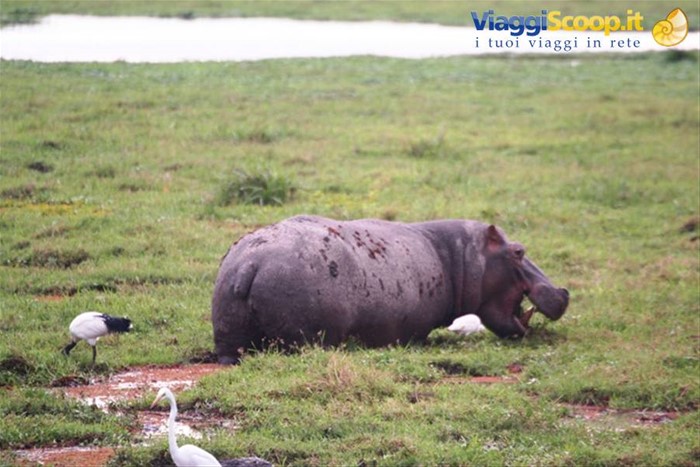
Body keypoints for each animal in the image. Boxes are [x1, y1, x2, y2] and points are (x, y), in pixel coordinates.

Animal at [212, 215, 569, 364]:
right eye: (519, 251)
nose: (564, 292)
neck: (460, 255)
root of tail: (250, 263)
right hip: (304, 337)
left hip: (228, 330)